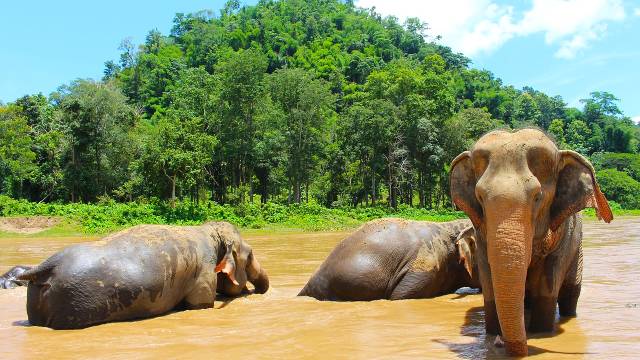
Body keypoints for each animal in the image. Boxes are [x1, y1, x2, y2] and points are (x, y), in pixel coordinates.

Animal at [16, 219, 268, 330]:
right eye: (250, 256)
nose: (256, 290)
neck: (209, 231)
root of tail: (46, 266)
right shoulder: (204, 272)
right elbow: (200, 304)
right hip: (73, 304)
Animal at [448, 129, 612, 358]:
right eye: (479, 197)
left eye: (537, 197)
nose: (499, 344)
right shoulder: (480, 232)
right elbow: (489, 281)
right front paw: (492, 335)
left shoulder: (564, 235)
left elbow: (548, 282)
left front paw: (540, 332)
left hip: (577, 251)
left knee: (571, 294)